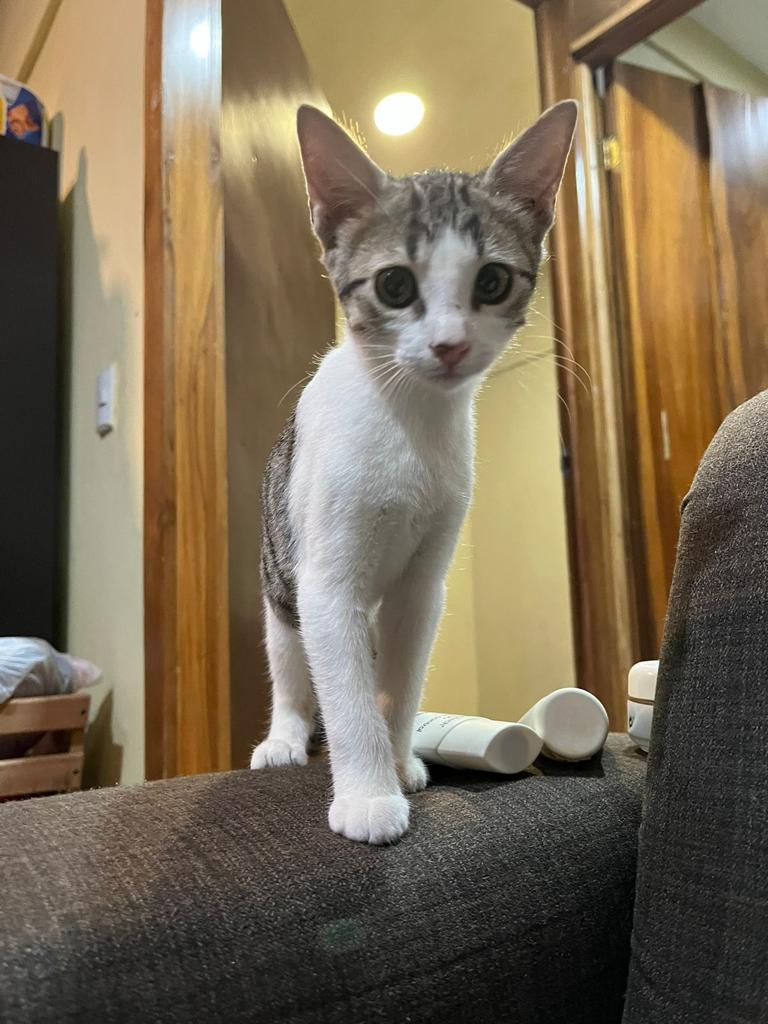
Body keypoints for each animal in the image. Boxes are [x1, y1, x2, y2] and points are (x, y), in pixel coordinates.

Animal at [252, 99, 577, 843]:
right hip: (280, 582)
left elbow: (400, 682)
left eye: (492, 280)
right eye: (395, 284)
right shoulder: (324, 583)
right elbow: (344, 696)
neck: (409, 421)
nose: (450, 345)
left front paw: (399, 763)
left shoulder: (423, 584)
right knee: (290, 666)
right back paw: (284, 738)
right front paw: (369, 795)